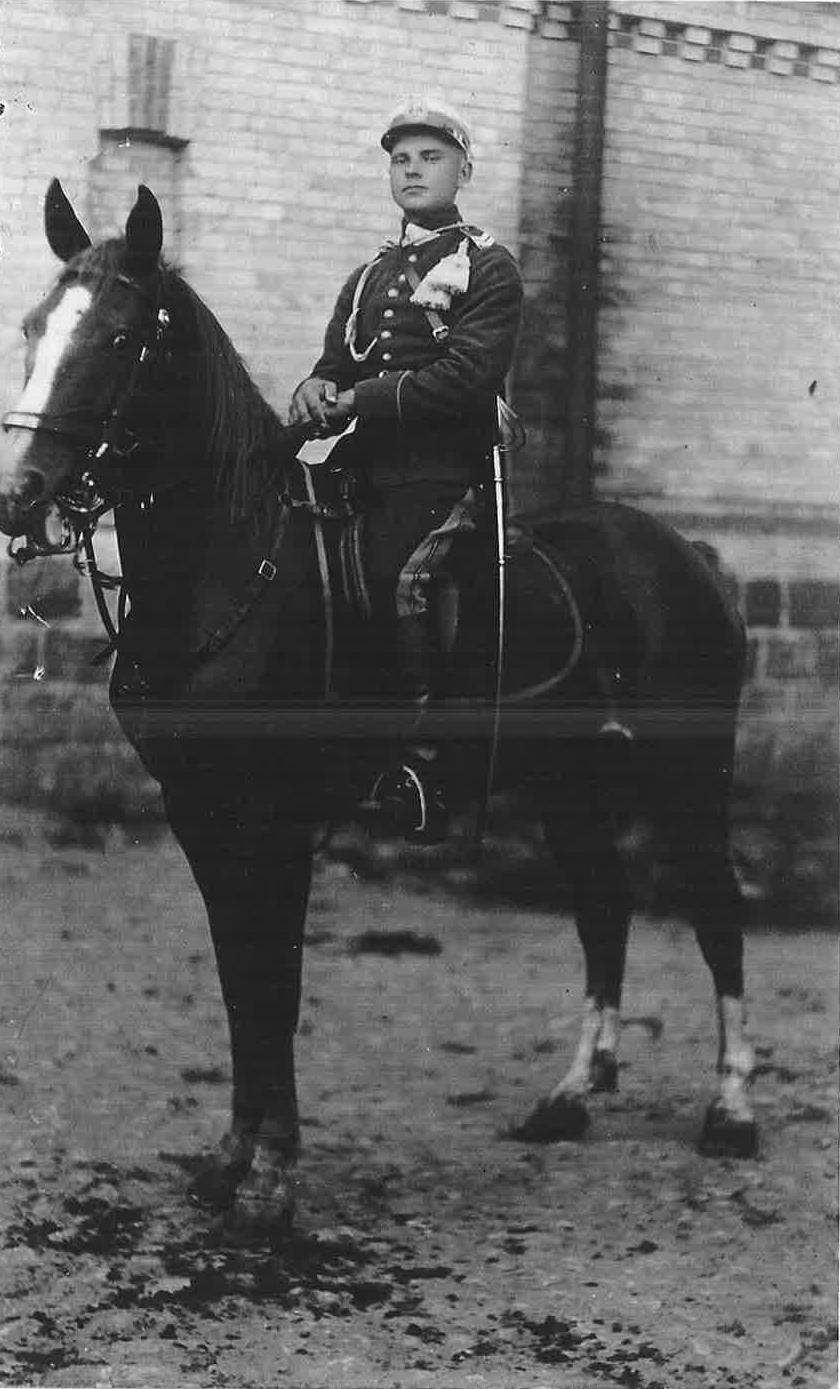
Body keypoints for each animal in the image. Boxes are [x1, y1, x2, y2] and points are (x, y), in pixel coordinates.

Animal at [0, 182, 757, 1241]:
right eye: (34, 326)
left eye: (116, 337)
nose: (18, 496)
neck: (230, 563)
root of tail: (687, 551)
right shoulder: (200, 814)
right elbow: (239, 982)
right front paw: (232, 1159)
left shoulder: (274, 822)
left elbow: (274, 983)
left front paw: (272, 1176)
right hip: (569, 783)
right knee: (605, 909)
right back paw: (569, 1095)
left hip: (689, 777)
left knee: (717, 915)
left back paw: (732, 1108)